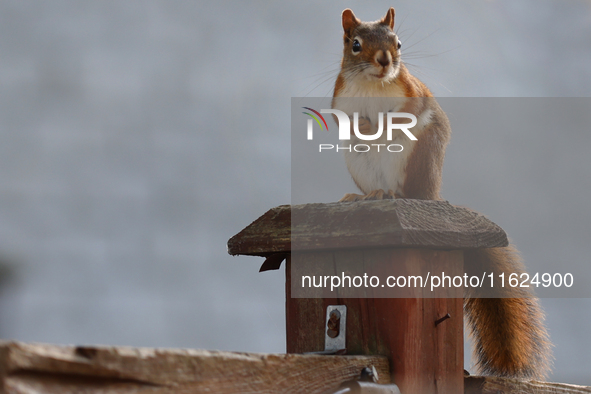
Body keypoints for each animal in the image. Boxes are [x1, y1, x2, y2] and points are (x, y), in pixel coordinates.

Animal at [332, 7, 556, 380]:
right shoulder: (341, 99)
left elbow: (408, 112)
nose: (385, 61)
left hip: (416, 158)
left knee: (405, 190)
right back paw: (364, 196)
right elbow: (344, 120)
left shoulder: (412, 91)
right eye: (356, 45)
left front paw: (381, 125)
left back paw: (390, 194)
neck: (373, 84)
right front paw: (362, 126)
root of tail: (431, 195)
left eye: (398, 43)